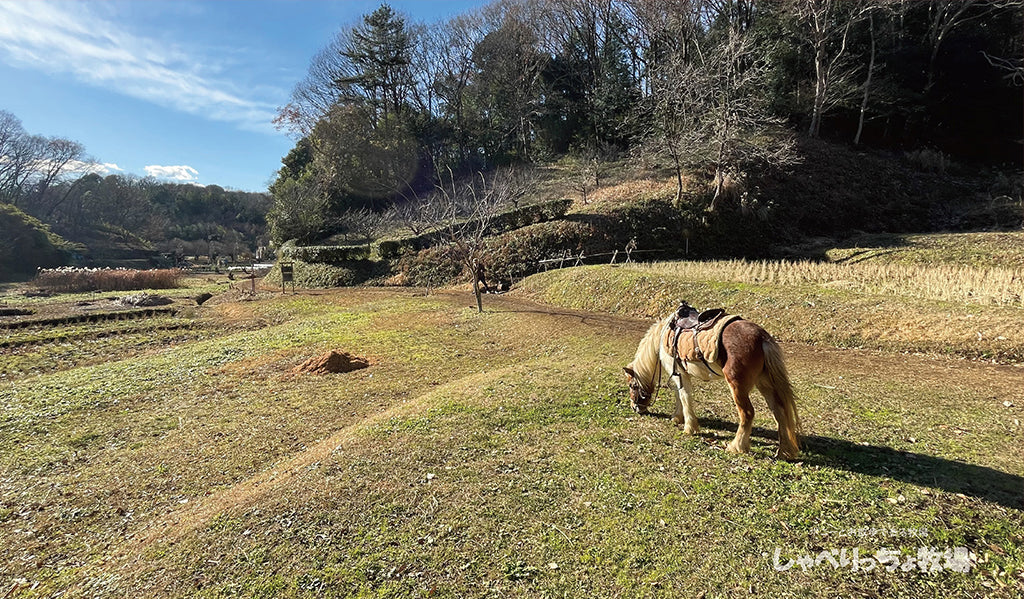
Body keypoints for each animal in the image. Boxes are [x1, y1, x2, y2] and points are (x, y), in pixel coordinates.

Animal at [618, 305, 802, 460]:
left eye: (632, 385)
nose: (635, 408)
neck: (663, 335)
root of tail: (762, 338)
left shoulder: (677, 371)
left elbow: (684, 396)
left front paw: (689, 427)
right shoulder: (680, 373)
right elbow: (679, 395)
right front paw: (678, 417)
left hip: (737, 386)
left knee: (747, 413)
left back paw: (736, 446)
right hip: (764, 383)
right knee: (779, 411)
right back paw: (784, 451)